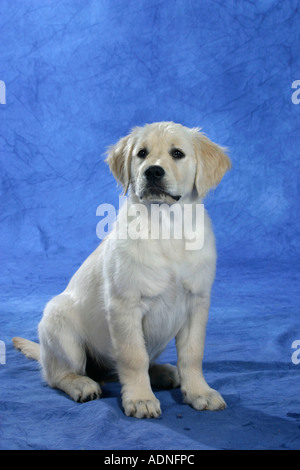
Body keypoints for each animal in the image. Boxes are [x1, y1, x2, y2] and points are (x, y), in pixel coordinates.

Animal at [12, 121, 231, 418]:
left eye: (177, 153)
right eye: (141, 154)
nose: (152, 171)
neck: (166, 226)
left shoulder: (197, 303)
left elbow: (192, 354)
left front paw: (199, 392)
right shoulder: (124, 305)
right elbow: (133, 356)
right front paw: (140, 398)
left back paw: (164, 373)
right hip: (59, 324)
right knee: (59, 374)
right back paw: (82, 384)